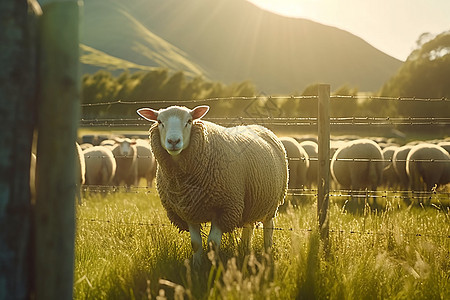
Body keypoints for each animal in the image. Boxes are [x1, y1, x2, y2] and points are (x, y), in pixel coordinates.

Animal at [135, 104, 288, 266]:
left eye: (189, 121)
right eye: (159, 121)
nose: (173, 141)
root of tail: (261, 127)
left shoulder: (224, 208)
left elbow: (212, 243)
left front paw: (213, 266)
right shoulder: (187, 210)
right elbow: (196, 244)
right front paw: (197, 266)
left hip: (271, 202)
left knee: (269, 226)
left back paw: (267, 252)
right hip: (249, 202)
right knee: (249, 226)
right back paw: (244, 250)